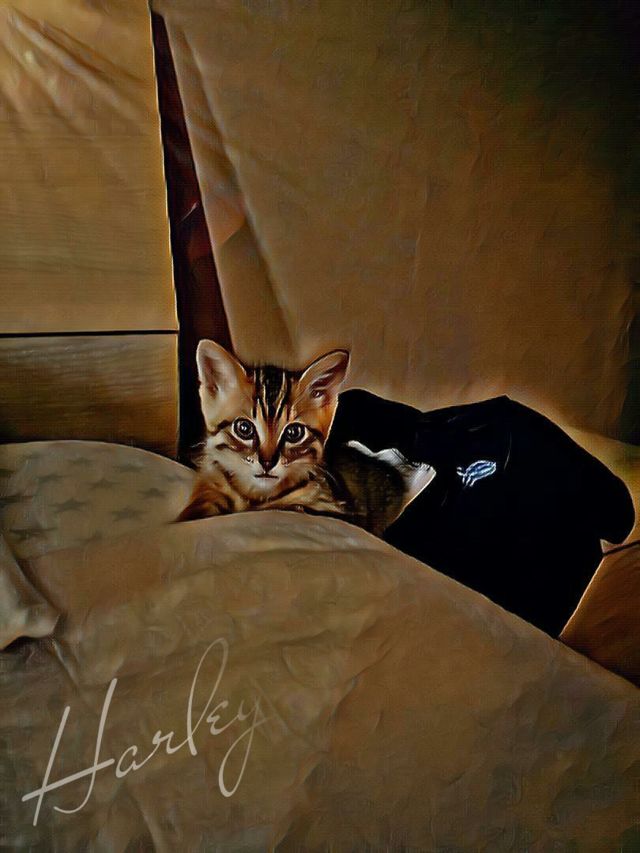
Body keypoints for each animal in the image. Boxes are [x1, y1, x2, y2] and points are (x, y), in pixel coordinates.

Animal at [177, 340, 435, 532]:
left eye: (294, 433)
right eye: (244, 429)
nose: (267, 463)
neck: (256, 495)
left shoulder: (341, 510)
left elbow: (296, 507)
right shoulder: (213, 481)